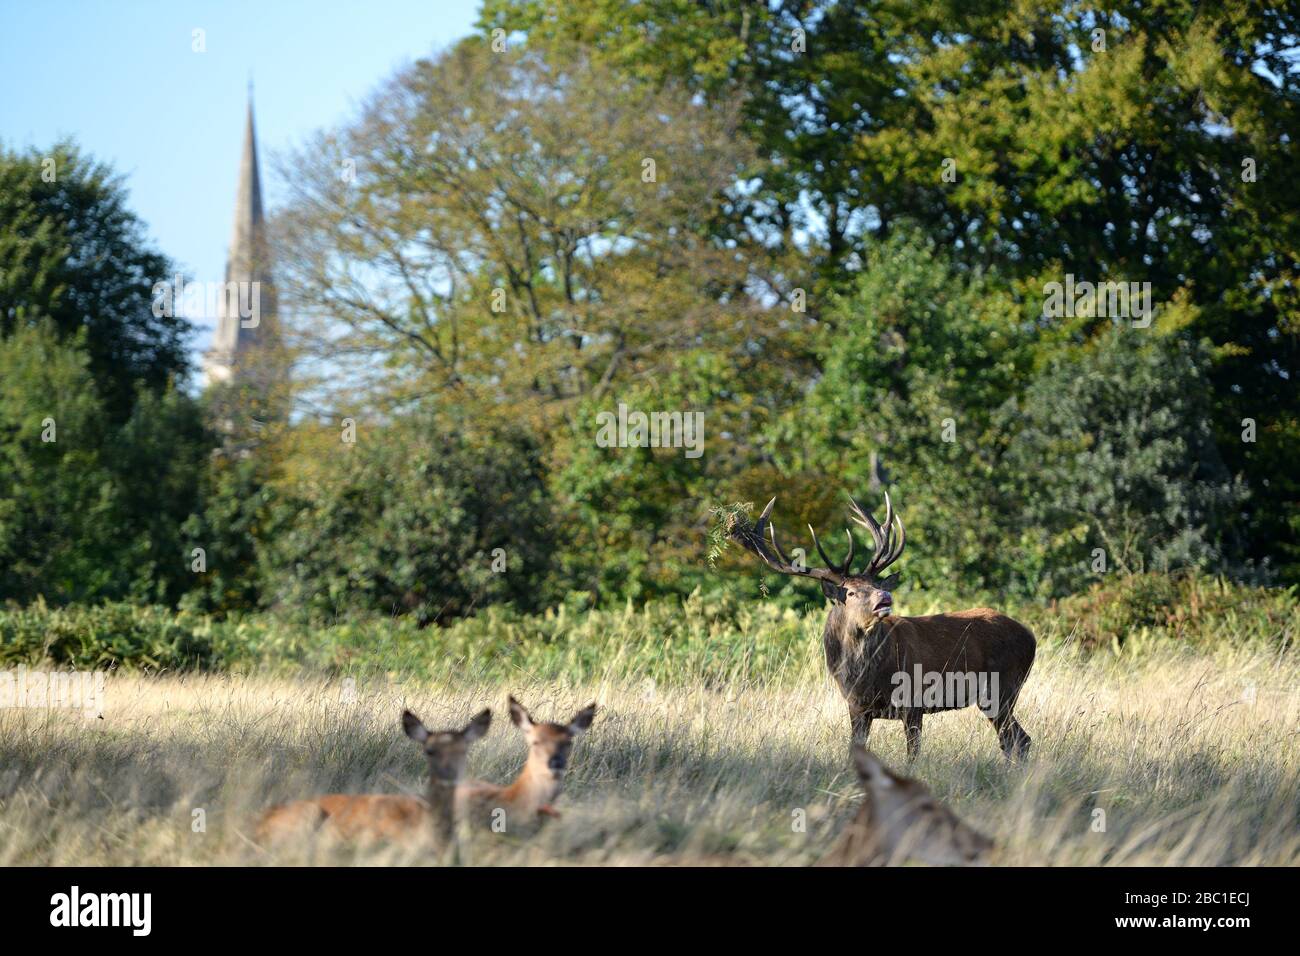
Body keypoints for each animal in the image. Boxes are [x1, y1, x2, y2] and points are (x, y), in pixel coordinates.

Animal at [728, 492, 1035, 761]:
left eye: (875, 584)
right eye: (851, 592)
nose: (884, 597)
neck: (865, 676)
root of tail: (1030, 636)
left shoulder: (913, 700)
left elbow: (913, 755)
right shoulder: (856, 708)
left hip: (1003, 687)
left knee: (1018, 739)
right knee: (1016, 740)